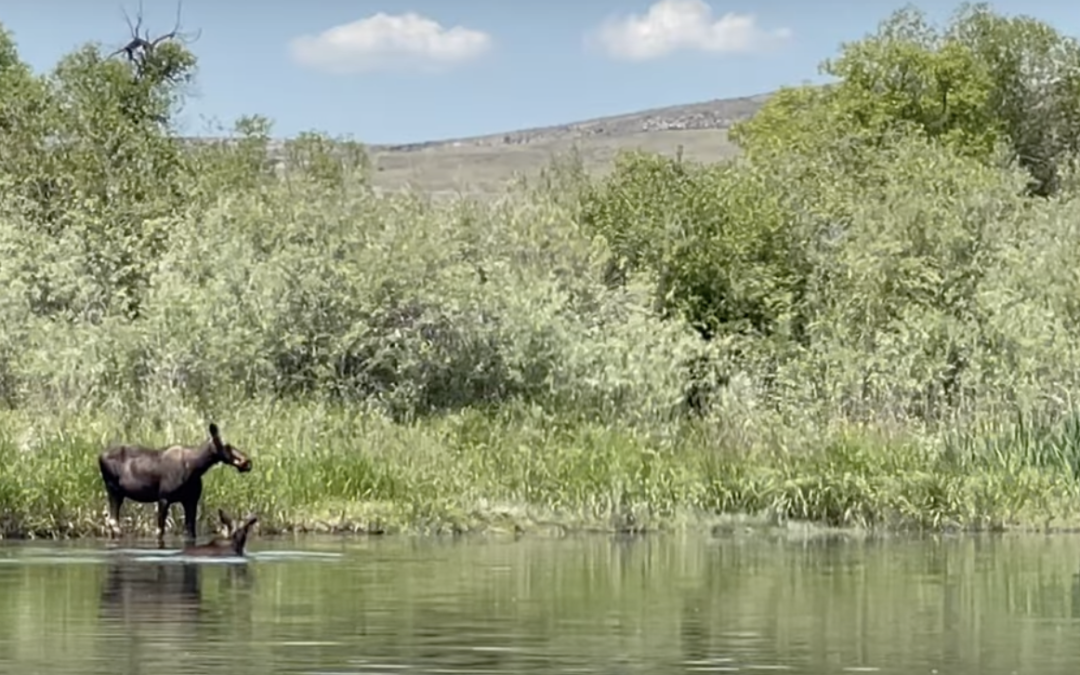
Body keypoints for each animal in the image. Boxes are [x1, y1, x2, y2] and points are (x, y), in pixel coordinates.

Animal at [98, 422, 253, 548]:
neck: (196, 468)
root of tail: (99, 456)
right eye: (227, 445)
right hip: (113, 489)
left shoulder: (191, 500)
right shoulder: (163, 498)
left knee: (112, 520)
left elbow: (190, 531)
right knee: (113, 521)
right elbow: (160, 530)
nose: (247, 462)